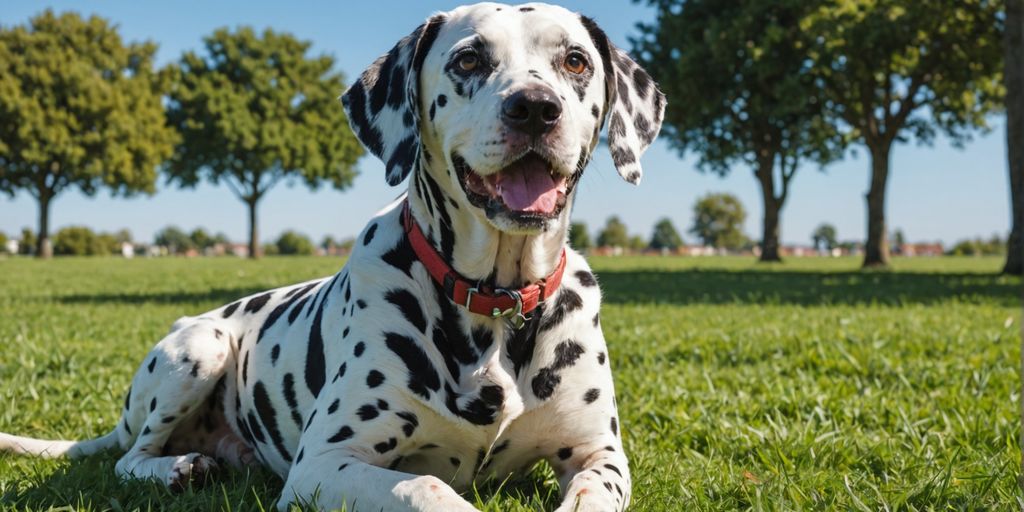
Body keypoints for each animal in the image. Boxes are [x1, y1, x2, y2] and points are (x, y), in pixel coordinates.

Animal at [0, 3, 663, 507]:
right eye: (469, 59)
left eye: (574, 60)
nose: (534, 107)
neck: (494, 303)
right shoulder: (324, 464)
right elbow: (428, 487)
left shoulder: (600, 456)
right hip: (200, 347)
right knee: (129, 458)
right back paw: (176, 467)